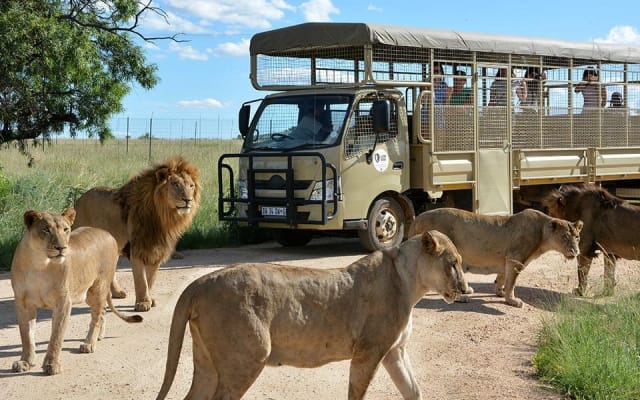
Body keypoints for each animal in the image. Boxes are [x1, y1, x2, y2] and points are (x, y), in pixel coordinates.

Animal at [11, 208, 143, 375]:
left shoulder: (63, 302)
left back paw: (89, 344)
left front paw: (52, 365)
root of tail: (108, 234)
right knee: (102, 311)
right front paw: (25, 362)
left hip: (98, 288)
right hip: (88, 294)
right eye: (46, 230)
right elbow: (26, 335)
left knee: (97, 316)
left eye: (66, 229)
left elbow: (56, 336)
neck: (40, 264)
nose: (61, 248)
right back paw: (99, 337)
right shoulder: (23, 303)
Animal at [73, 156, 201, 312]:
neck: (163, 217)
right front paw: (143, 303)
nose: (188, 200)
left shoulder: (156, 250)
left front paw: (149, 300)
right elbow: (141, 280)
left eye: (191, 186)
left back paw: (117, 293)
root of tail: (79, 200)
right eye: (175, 184)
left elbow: (150, 279)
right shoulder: (137, 249)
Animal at [155, 230, 469, 400]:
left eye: (461, 263)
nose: (466, 288)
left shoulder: (395, 351)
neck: (411, 282)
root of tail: (199, 283)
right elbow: (357, 392)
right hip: (247, 357)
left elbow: (413, 390)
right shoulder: (368, 352)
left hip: (207, 362)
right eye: (453, 263)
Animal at [408, 208, 583, 307]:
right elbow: (512, 282)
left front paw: (500, 292)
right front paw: (512, 300)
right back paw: (462, 298)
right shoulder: (515, 258)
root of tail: (417, 218)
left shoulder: (506, 259)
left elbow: (502, 277)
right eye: (564, 237)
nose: (575, 251)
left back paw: (467, 290)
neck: (542, 233)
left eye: (577, 237)